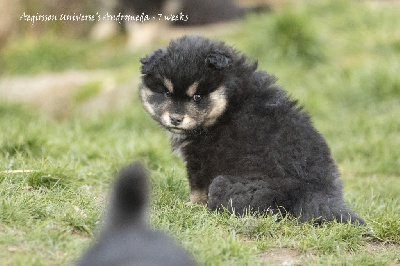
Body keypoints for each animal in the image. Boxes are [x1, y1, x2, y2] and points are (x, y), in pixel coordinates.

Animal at [139, 34, 364, 222]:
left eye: (197, 97)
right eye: (167, 94)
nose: (176, 119)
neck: (230, 102)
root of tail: (313, 191)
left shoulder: (200, 157)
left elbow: (198, 188)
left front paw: (192, 205)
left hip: (225, 184)